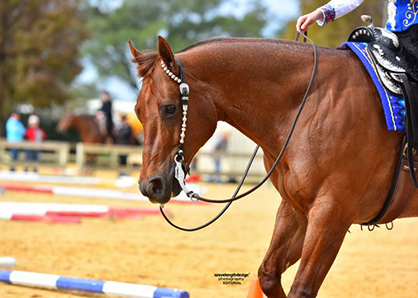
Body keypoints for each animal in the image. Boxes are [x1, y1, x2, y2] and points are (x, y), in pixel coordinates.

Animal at [129, 36, 418, 296]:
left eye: (169, 108)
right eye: (137, 111)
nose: (150, 185)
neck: (311, 106)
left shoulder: (331, 214)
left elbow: (301, 289)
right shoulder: (296, 209)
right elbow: (268, 274)